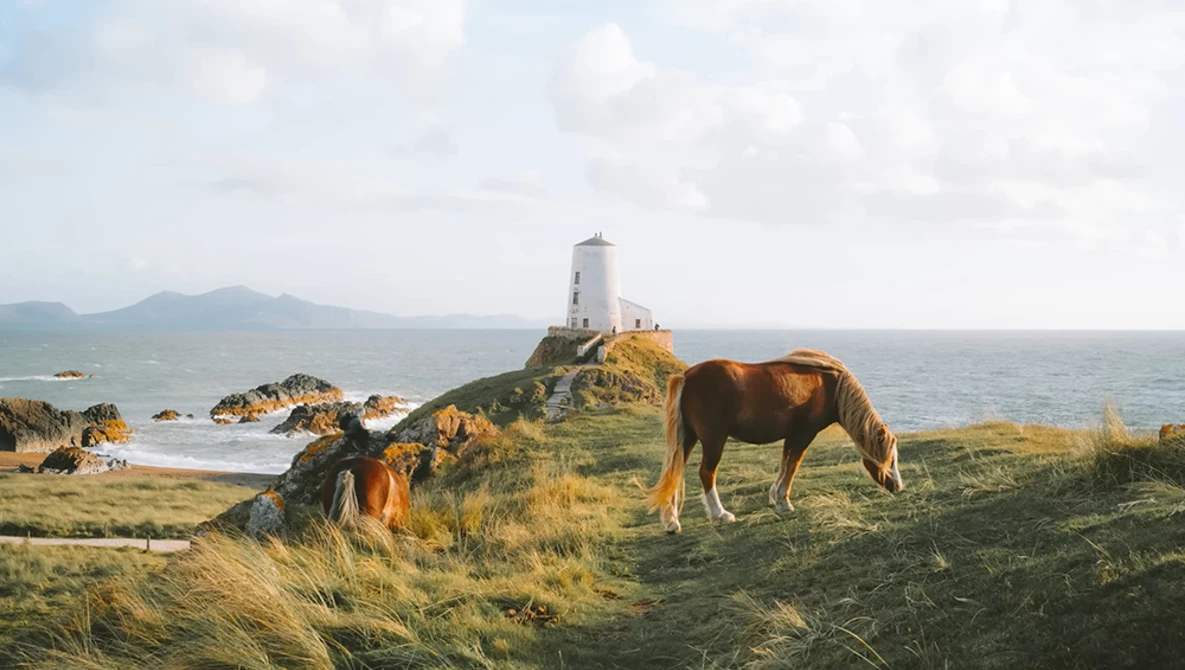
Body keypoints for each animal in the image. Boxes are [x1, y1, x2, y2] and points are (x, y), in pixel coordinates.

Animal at [646, 348, 903, 534]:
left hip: (687, 438)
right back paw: (721, 514)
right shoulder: (804, 433)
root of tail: (687, 376)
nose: (899, 487)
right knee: (706, 473)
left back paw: (672, 522)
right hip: (713, 440)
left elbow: (784, 464)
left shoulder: (792, 435)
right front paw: (784, 501)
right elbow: (793, 466)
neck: (830, 386)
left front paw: (775, 498)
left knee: (674, 472)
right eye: (889, 459)